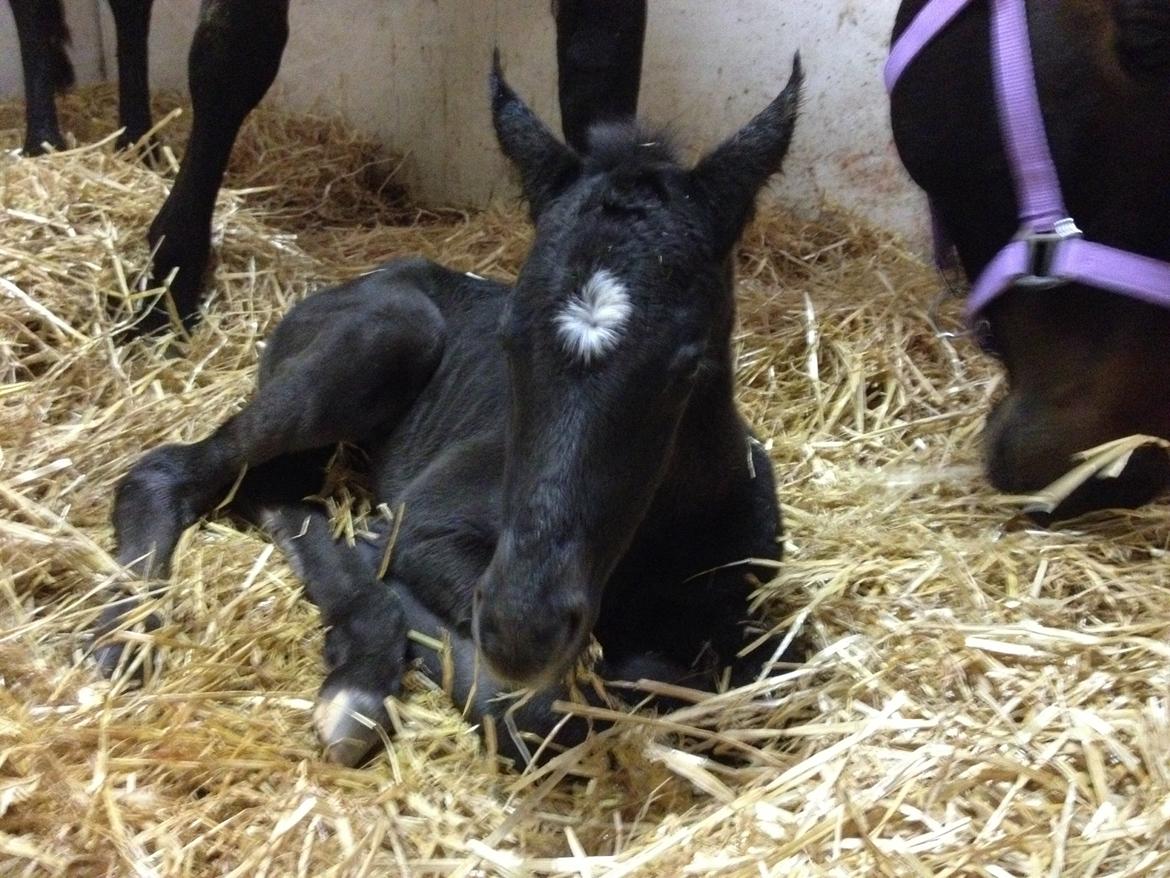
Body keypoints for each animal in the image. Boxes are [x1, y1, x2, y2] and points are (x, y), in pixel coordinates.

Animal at [95, 56, 804, 767]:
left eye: (688, 366)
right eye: (508, 338)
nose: (522, 627)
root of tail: (348, 284)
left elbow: (758, 693)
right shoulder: (429, 526)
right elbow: (545, 704)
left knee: (275, 493)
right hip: (386, 337)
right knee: (168, 470)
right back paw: (124, 639)